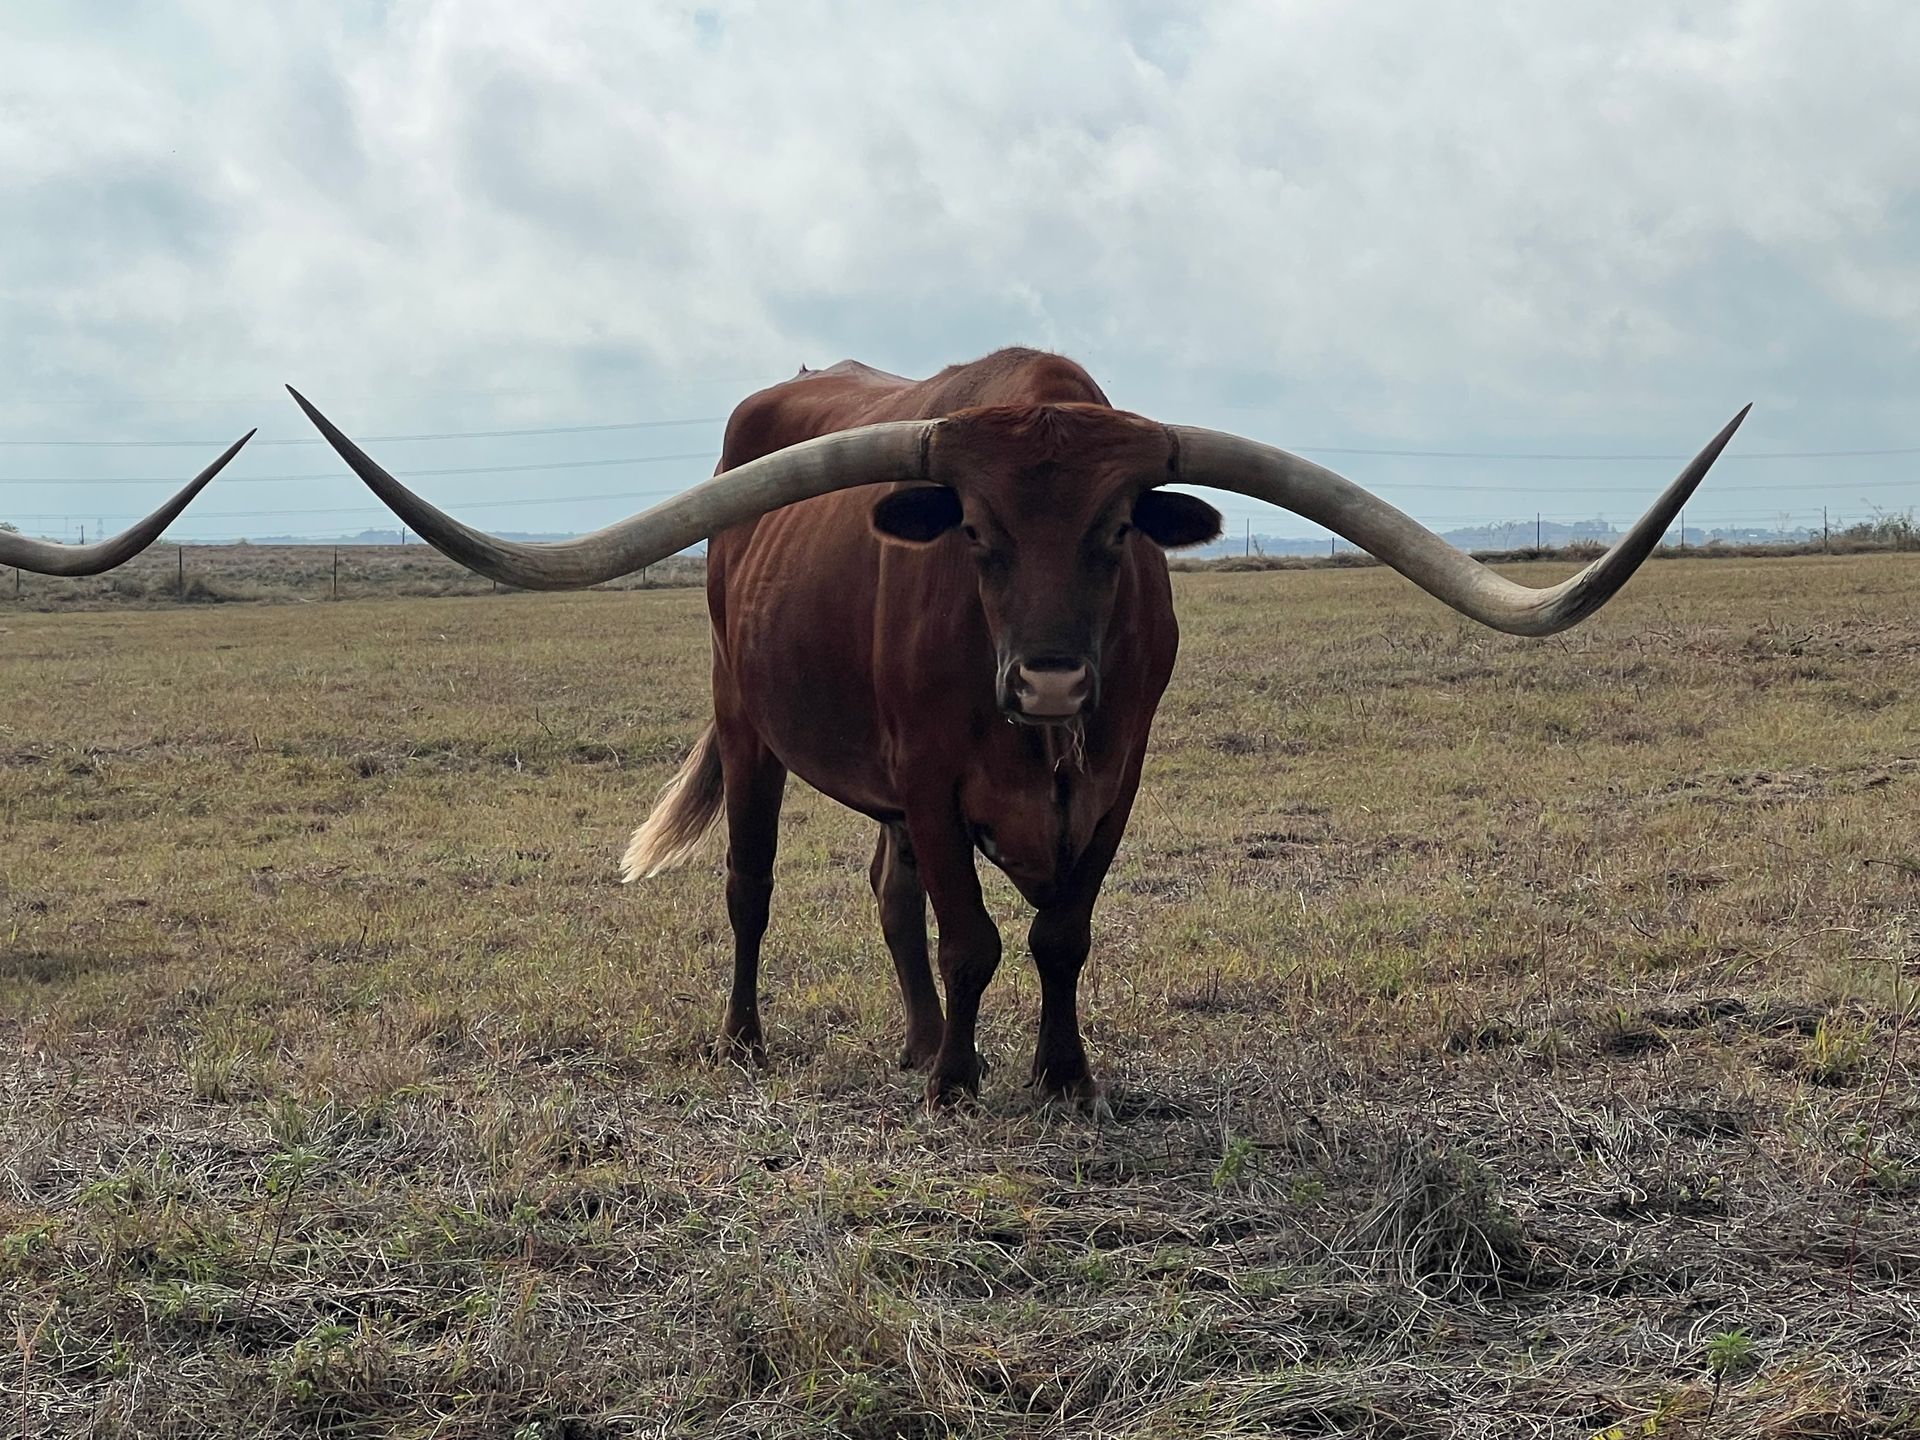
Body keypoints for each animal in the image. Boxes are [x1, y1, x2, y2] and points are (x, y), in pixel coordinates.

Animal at [289, 350, 1746, 1107]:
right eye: (978, 535)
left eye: (1115, 532)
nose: (1046, 684)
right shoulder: (936, 777)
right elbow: (975, 933)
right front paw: (958, 1085)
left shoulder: (1117, 776)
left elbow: (1057, 937)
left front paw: (1056, 1073)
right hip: (748, 723)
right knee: (756, 889)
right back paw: (760, 1040)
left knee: (886, 898)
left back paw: (917, 1036)